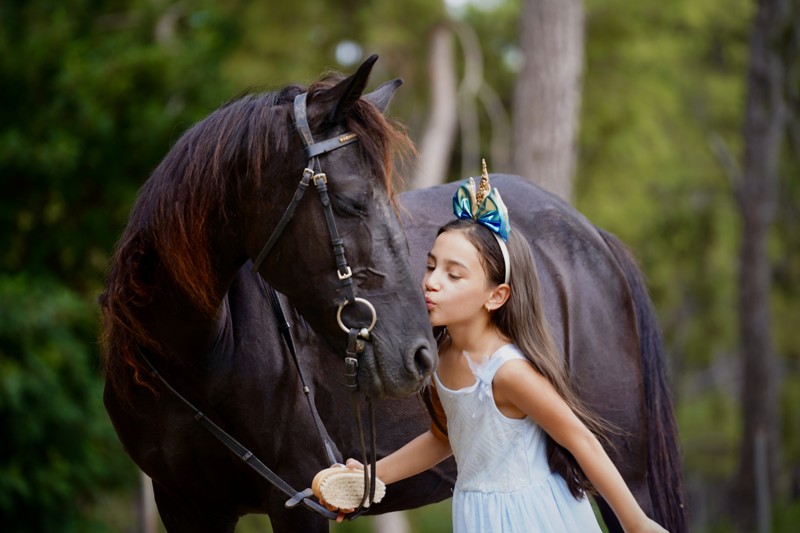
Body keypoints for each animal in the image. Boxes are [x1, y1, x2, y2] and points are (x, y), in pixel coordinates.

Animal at [100, 56, 688, 528]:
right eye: (350, 201)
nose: (420, 354)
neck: (200, 357)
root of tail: (593, 237)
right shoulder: (187, 507)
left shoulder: (295, 502)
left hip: (624, 470)